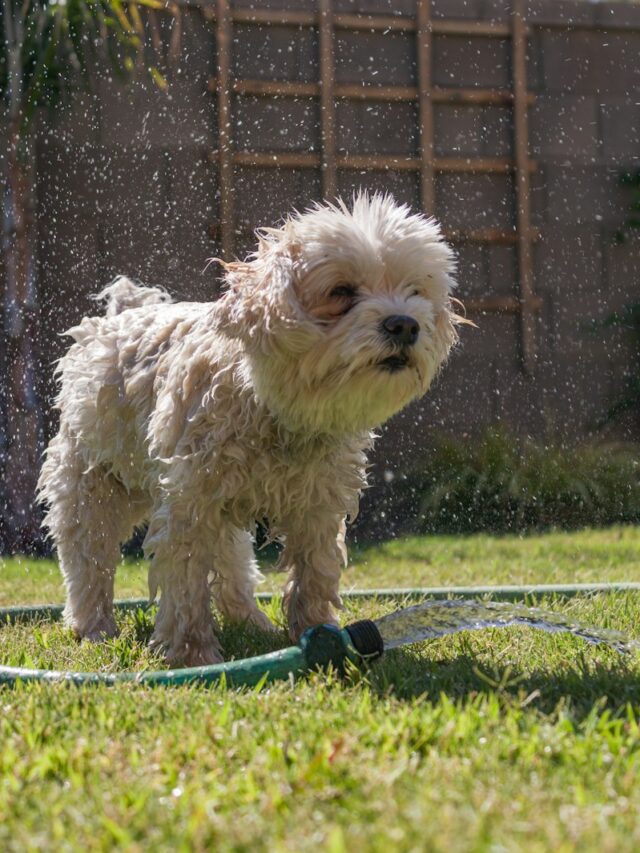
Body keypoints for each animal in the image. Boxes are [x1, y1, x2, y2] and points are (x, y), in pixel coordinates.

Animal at [38, 193, 460, 664]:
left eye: (415, 291)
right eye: (341, 292)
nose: (405, 324)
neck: (275, 409)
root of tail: (121, 316)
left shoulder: (318, 504)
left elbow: (315, 572)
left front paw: (318, 632)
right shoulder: (189, 505)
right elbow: (185, 584)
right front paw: (192, 656)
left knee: (232, 563)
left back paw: (251, 621)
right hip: (91, 486)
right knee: (87, 559)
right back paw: (93, 628)